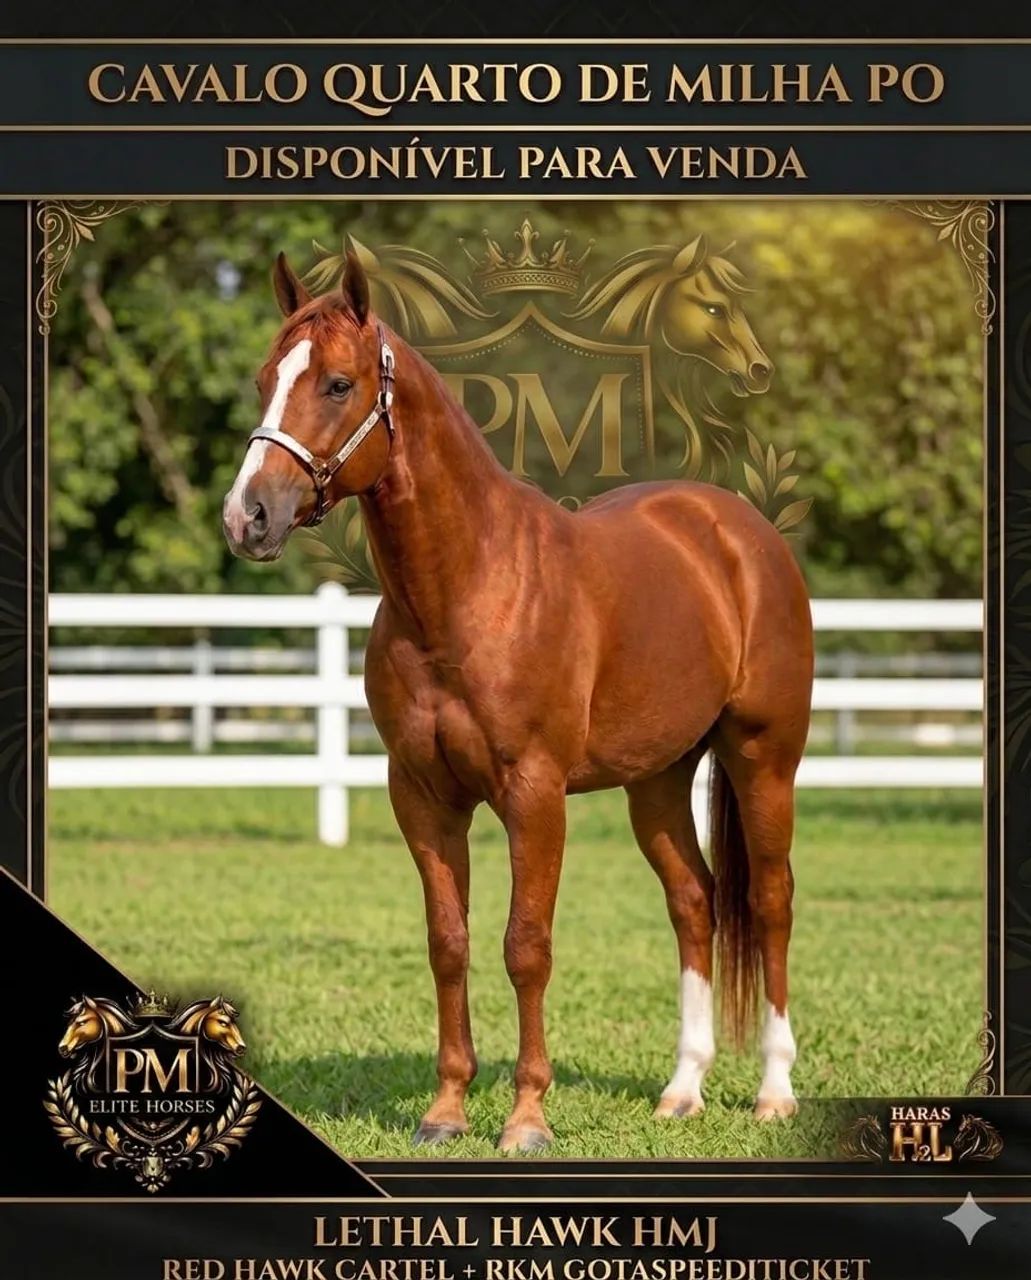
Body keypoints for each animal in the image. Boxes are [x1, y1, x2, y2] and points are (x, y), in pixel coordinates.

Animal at [223, 248, 813, 1153]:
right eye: (264, 380)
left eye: (336, 383)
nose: (247, 515)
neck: (469, 588)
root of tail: (737, 532)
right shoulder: (422, 796)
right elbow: (448, 942)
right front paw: (444, 1111)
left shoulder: (534, 796)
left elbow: (524, 945)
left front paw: (526, 1118)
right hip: (657, 781)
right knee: (694, 904)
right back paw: (682, 1090)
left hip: (762, 758)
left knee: (769, 901)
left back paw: (774, 1091)